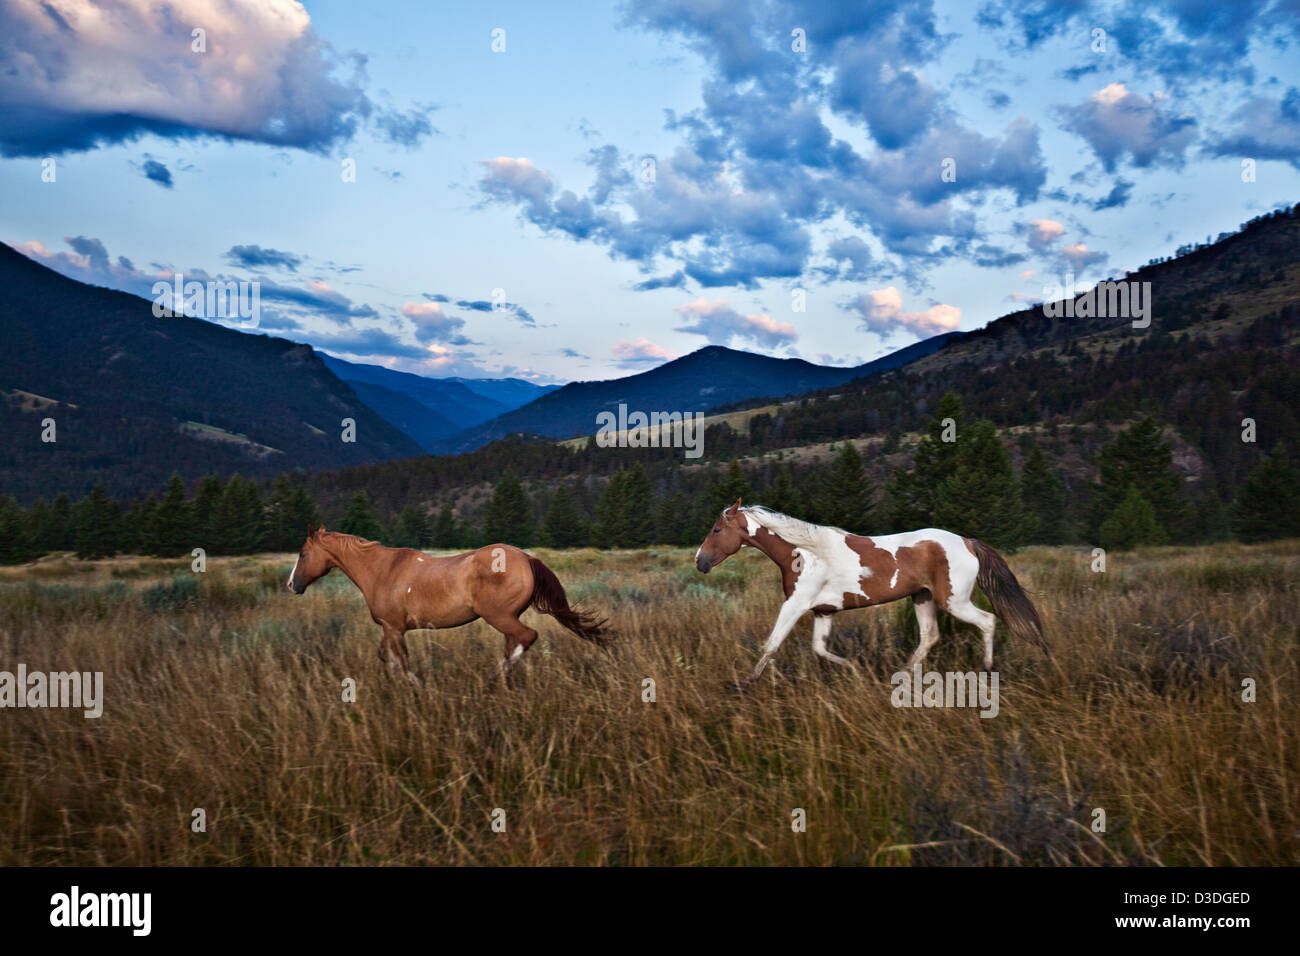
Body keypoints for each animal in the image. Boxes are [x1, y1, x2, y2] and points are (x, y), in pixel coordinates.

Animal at [286, 525, 606, 679]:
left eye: (302, 554)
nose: (292, 585)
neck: (382, 570)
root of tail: (527, 558)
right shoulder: (391, 630)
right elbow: (388, 658)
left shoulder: (393, 628)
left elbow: (401, 662)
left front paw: (415, 689)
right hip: (508, 619)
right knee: (515, 644)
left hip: (499, 616)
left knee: (527, 637)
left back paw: (494, 677)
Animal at [694, 500, 1051, 682]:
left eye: (717, 530)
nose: (700, 561)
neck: (804, 553)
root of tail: (968, 542)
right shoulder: (823, 612)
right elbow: (819, 649)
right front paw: (855, 669)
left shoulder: (795, 604)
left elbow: (771, 644)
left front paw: (747, 684)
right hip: (922, 598)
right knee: (930, 636)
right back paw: (902, 674)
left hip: (954, 600)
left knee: (988, 621)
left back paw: (987, 669)